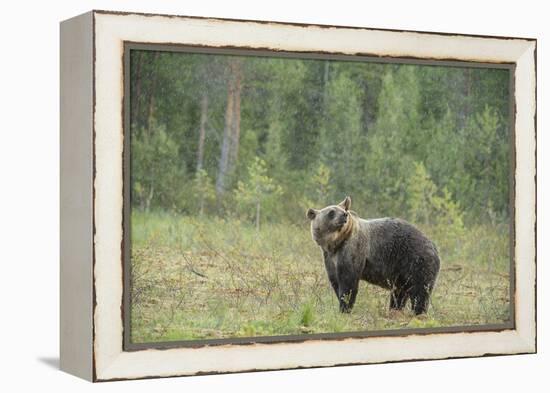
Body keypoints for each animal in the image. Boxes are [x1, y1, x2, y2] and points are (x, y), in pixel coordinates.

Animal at [308, 198, 442, 314]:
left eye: (343, 210)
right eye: (331, 212)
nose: (344, 215)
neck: (336, 242)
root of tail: (434, 246)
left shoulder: (353, 249)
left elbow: (348, 282)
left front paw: (345, 308)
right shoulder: (330, 258)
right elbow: (335, 280)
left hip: (416, 260)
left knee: (420, 291)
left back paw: (418, 312)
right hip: (402, 273)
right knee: (399, 293)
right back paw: (395, 310)